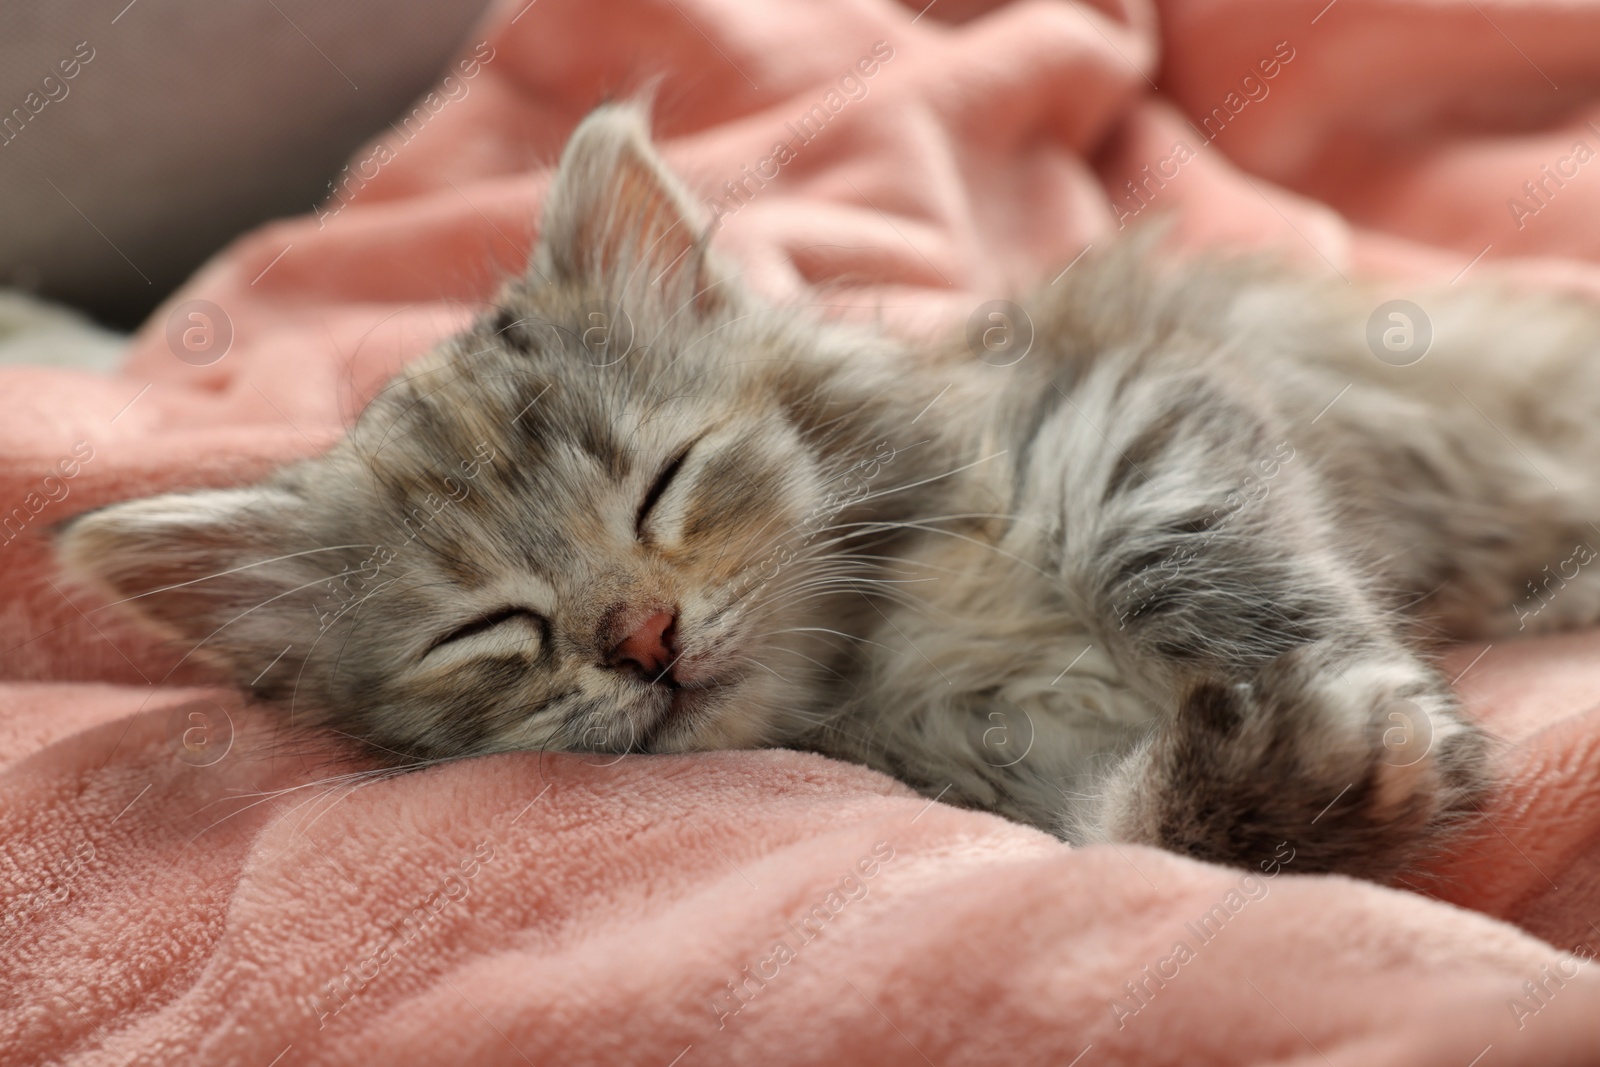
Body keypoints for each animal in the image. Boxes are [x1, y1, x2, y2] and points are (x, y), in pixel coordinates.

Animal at [59, 103, 1600, 883]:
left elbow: (1182, 557)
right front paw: (1283, 782)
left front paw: (1348, 701)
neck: (890, 652)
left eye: (663, 485)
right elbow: (1129, 836)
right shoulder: (995, 777)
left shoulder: (1132, 403)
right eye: (490, 628)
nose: (642, 638)